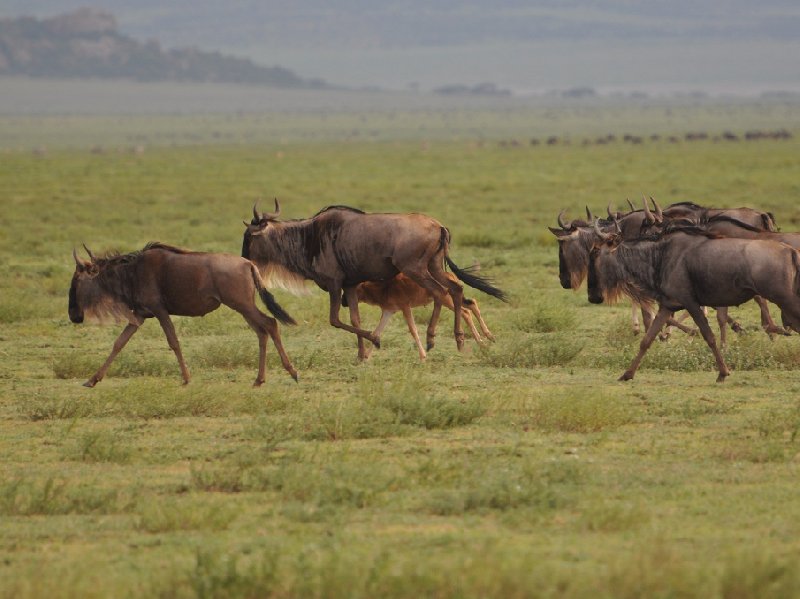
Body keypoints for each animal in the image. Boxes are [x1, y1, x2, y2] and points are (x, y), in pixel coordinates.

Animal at [67, 241, 298, 386]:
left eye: (76, 281)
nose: (73, 316)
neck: (131, 273)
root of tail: (249, 264)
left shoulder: (159, 311)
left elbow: (173, 341)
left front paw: (186, 378)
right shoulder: (140, 315)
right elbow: (119, 343)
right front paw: (92, 380)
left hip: (242, 305)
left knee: (270, 324)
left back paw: (292, 372)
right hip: (243, 308)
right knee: (261, 331)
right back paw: (259, 380)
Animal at [348, 272, 494, 360]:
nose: (345, 302)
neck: (383, 287)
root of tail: (449, 274)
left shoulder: (405, 308)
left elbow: (413, 330)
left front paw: (423, 356)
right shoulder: (388, 312)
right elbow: (376, 332)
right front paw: (365, 356)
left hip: (447, 300)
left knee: (465, 312)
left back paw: (483, 340)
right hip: (450, 301)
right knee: (471, 305)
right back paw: (485, 340)